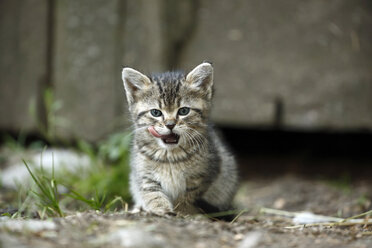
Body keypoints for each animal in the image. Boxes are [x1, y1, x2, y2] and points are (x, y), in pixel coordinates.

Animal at [122, 62, 238, 215]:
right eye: (155, 113)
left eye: (184, 111)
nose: (170, 124)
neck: (170, 156)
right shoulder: (144, 173)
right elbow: (152, 193)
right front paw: (161, 208)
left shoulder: (204, 175)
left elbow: (188, 196)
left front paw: (182, 210)